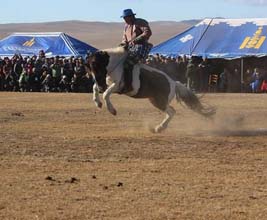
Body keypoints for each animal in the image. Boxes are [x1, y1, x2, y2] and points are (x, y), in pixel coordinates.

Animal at [87, 46, 217, 132]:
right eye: (91, 68)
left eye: (97, 67)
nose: (101, 85)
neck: (116, 66)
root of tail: (173, 83)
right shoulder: (106, 83)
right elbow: (95, 88)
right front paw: (98, 103)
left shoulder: (117, 85)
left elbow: (106, 94)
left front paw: (112, 110)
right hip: (155, 100)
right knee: (171, 111)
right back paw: (159, 127)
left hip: (160, 102)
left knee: (172, 112)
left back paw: (159, 128)